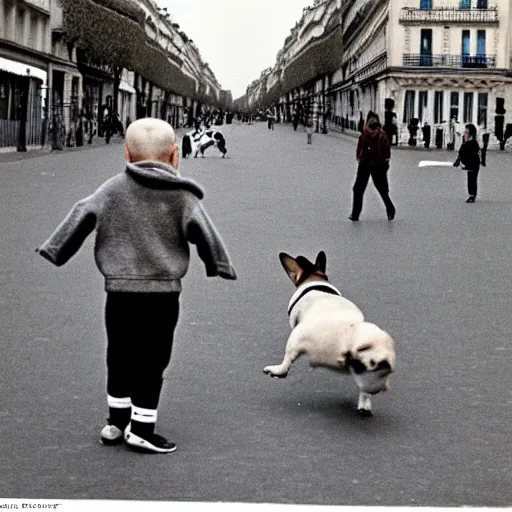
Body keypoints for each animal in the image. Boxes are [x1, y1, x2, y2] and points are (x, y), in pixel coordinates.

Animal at [264, 252, 396, 416]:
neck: (314, 280)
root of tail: (348, 340)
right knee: (366, 386)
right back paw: (366, 403)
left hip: (297, 339)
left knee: (286, 363)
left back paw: (276, 370)